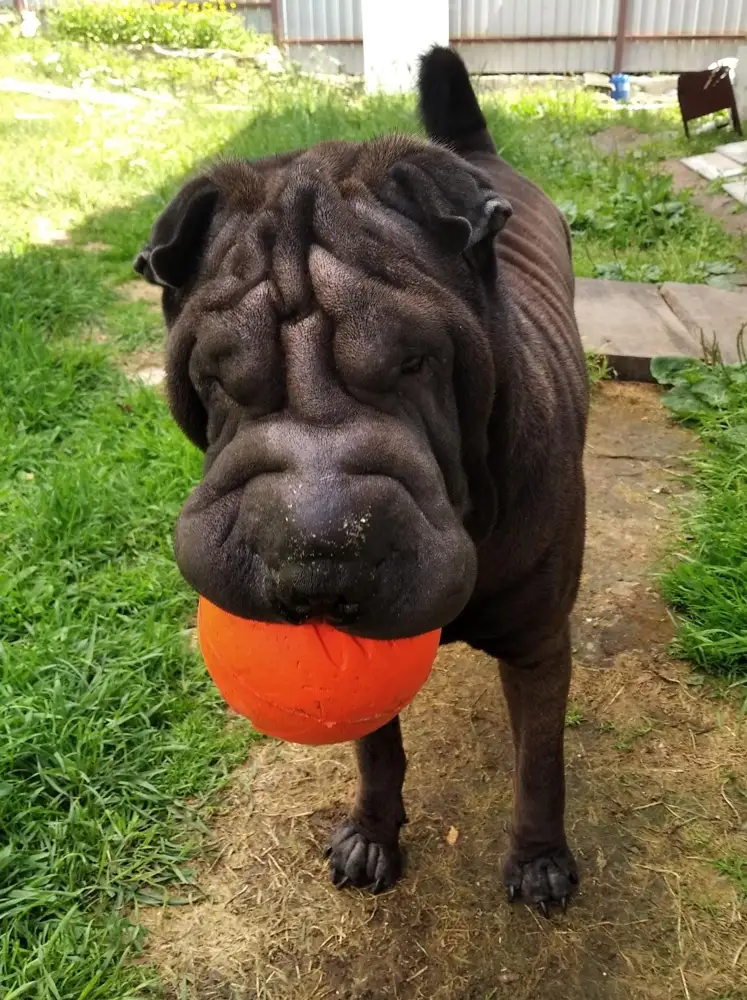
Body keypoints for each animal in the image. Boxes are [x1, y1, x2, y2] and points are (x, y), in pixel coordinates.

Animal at [134, 50, 592, 916]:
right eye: (218, 378)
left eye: (414, 362)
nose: (316, 551)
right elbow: (376, 748)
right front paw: (371, 837)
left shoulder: (539, 644)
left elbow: (541, 766)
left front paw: (541, 861)